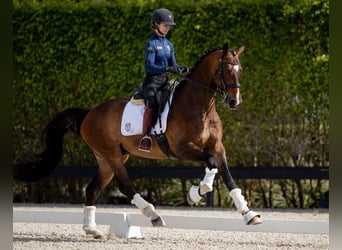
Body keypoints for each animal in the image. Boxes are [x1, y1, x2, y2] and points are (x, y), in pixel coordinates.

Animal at [14, 42, 262, 239]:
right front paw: (196, 193)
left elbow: (227, 177)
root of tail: (89, 114)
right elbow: (210, 164)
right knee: (125, 186)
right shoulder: (182, 148)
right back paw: (153, 215)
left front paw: (249, 214)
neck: (201, 107)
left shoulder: (218, 147)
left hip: (107, 159)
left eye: (240, 70)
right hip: (112, 155)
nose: (234, 101)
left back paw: (92, 230)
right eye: (226, 69)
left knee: (92, 189)